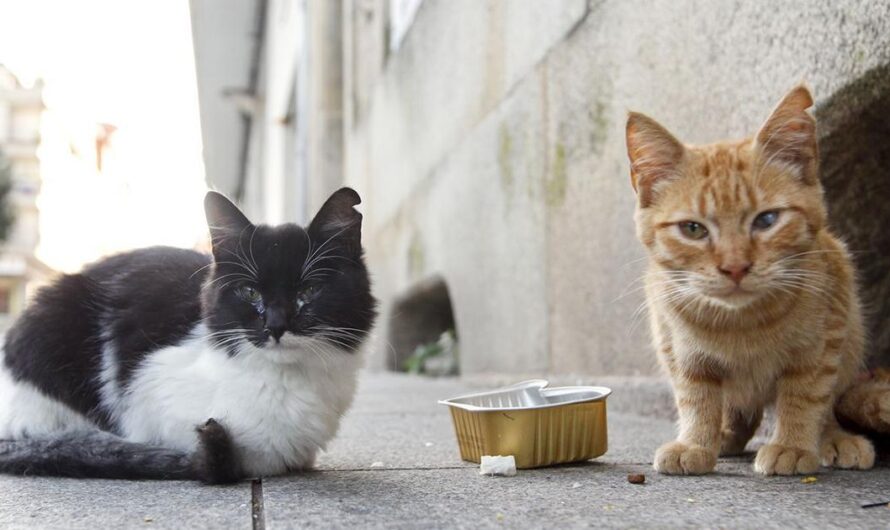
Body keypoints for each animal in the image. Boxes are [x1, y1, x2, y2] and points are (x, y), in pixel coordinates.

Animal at [624, 86, 876, 474]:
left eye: (766, 220)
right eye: (693, 229)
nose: (735, 267)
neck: (743, 324)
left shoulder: (823, 342)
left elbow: (807, 394)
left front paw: (793, 445)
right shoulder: (680, 349)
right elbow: (696, 396)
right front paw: (695, 442)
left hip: (850, 333)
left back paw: (834, 438)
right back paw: (726, 433)